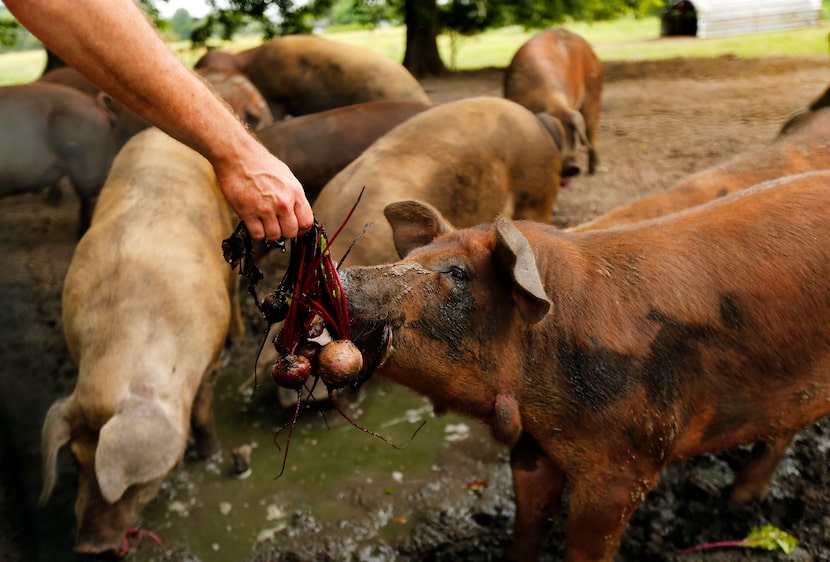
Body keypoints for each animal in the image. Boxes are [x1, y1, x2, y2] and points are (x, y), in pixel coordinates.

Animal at [40, 128, 244, 556]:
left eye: (130, 483)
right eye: (76, 461)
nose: (89, 548)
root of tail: (153, 132)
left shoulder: (209, 359)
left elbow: (202, 413)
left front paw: (211, 454)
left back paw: (239, 335)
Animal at [338, 170, 830, 560]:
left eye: (457, 273)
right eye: (407, 260)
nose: (342, 274)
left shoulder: (629, 461)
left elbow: (586, 544)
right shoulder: (533, 447)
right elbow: (530, 522)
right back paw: (737, 503)